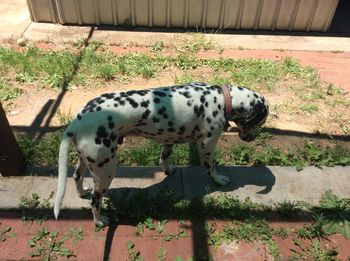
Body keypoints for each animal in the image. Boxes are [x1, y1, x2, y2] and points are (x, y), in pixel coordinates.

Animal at [54, 82, 268, 225]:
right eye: (261, 121)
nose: (253, 138)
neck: (222, 99)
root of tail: (77, 122)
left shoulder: (169, 139)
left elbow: (164, 157)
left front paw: (168, 169)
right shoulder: (207, 145)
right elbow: (211, 167)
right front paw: (219, 179)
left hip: (86, 161)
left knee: (77, 177)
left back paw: (82, 192)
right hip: (105, 169)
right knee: (95, 200)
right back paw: (99, 221)